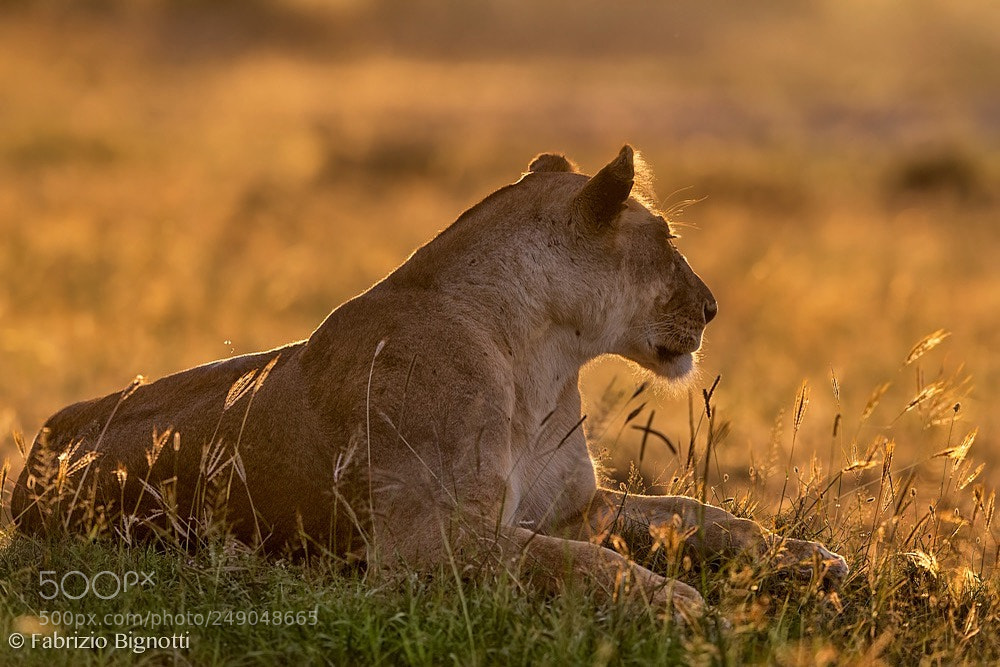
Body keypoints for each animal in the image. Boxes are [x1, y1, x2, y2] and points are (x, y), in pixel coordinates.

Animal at [11, 145, 847, 620]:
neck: (542, 361)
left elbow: (700, 513)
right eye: (668, 237)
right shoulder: (420, 544)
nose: (712, 307)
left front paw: (808, 555)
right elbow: (585, 562)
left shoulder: (578, 506)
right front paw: (680, 602)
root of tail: (34, 458)